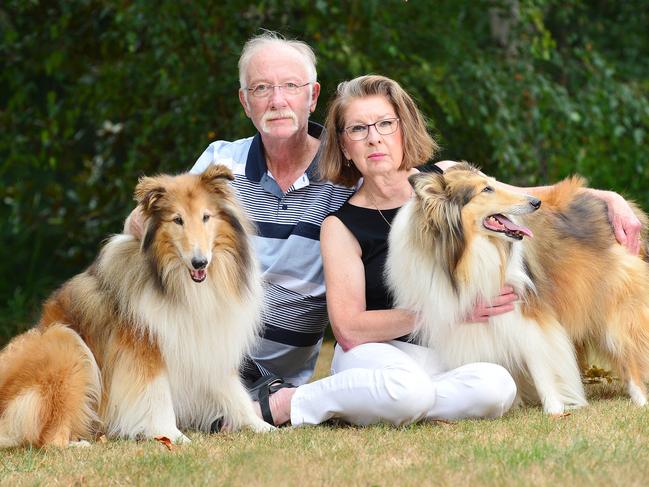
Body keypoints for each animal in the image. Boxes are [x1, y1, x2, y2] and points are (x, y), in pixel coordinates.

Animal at [0, 166, 272, 448]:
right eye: (177, 220)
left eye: (206, 217)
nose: (199, 262)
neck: (176, 281)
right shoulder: (145, 349)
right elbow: (159, 397)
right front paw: (172, 436)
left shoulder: (206, 342)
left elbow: (234, 392)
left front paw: (263, 427)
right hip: (65, 342)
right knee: (49, 439)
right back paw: (81, 445)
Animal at [384, 163, 648, 412]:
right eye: (486, 189)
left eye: (493, 182)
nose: (536, 202)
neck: (461, 256)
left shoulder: (528, 314)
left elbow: (540, 362)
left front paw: (554, 409)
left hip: (615, 308)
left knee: (629, 354)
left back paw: (640, 400)